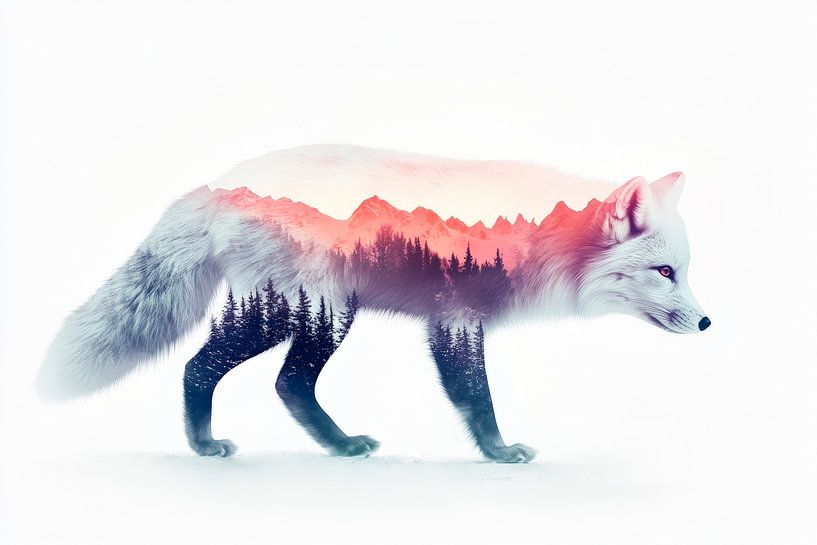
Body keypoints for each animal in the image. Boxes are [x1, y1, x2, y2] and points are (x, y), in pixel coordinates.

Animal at [38, 144, 710, 463]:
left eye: (684, 271)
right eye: (664, 272)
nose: (707, 321)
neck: (534, 237)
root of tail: (221, 182)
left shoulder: (448, 318)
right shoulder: (456, 317)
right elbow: (476, 398)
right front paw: (498, 453)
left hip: (319, 315)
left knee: (285, 385)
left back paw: (335, 447)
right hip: (304, 315)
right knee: (204, 368)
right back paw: (205, 446)